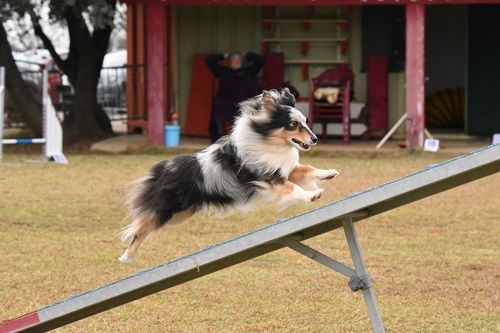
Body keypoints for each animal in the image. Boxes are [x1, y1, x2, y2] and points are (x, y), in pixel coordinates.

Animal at [120, 88, 340, 262]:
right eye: (293, 124)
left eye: (305, 122)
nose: (315, 139)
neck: (267, 142)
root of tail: (161, 169)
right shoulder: (268, 179)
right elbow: (293, 187)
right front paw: (312, 195)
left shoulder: (283, 169)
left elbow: (307, 169)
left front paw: (328, 173)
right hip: (166, 210)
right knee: (139, 228)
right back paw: (126, 256)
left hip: (181, 214)